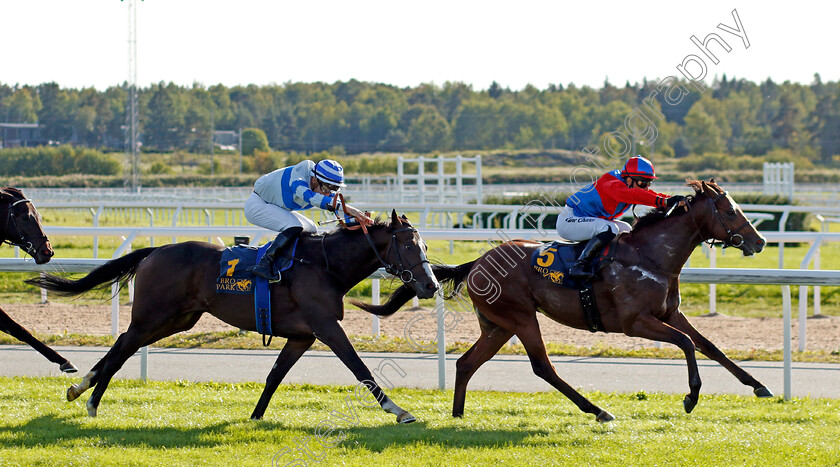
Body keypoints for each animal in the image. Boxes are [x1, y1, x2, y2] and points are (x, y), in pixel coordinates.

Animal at [0, 186, 77, 372]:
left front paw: (63, 360)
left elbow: (18, 329)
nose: (47, 251)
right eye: (25, 217)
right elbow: (15, 327)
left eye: (39, 216)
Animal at [27, 210, 440, 422]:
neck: (324, 264)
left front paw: (256, 417)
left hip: (178, 319)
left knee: (121, 346)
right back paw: (92, 402)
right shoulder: (325, 326)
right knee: (122, 350)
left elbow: (275, 376)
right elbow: (360, 367)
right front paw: (398, 410)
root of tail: (155, 250)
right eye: (408, 246)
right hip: (152, 316)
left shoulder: (302, 335)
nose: (431, 285)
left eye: (424, 245)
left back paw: (79, 389)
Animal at [354, 181, 776, 422]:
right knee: (543, 367)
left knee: (466, 363)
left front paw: (759, 386)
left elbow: (709, 345)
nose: (760, 241)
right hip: (522, 319)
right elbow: (688, 344)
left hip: (498, 326)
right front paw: (691, 397)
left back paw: (457, 416)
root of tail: (477, 261)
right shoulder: (635, 323)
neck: (651, 256)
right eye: (729, 209)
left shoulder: (669, 312)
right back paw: (598, 410)